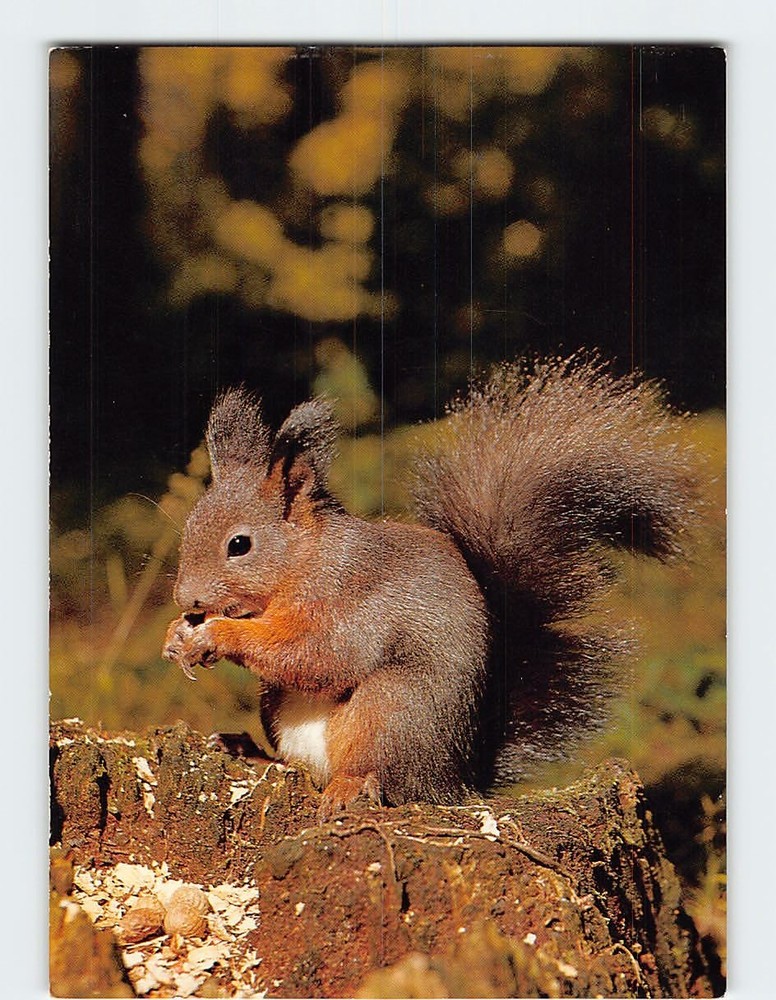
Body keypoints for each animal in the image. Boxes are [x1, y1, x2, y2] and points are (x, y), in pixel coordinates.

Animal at [162, 354, 697, 821]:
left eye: (239, 544)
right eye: (188, 527)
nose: (186, 600)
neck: (305, 560)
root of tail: (456, 778)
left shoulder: (350, 602)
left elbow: (317, 657)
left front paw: (215, 635)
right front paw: (176, 635)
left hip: (391, 710)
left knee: (380, 776)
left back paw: (349, 785)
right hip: (282, 709)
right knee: (298, 766)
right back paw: (248, 751)